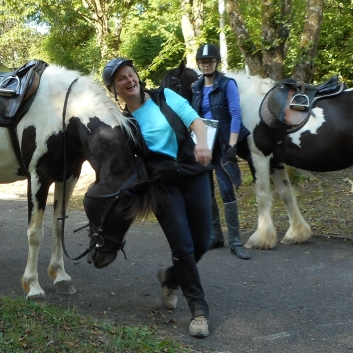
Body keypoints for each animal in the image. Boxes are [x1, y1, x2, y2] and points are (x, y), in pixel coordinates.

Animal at [0, 62, 157, 296]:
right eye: (118, 210)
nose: (105, 258)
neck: (63, 116)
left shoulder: (68, 176)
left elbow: (58, 226)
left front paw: (61, 276)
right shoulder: (38, 177)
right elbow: (35, 232)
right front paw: (33, 285)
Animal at [163, 61, 352, 248]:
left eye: (171, 86)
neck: (245, 102)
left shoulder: (258, 157)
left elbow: (262, 195)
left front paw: (261, 238)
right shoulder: (275, 161)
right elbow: (286, 194)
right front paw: (296, 233)